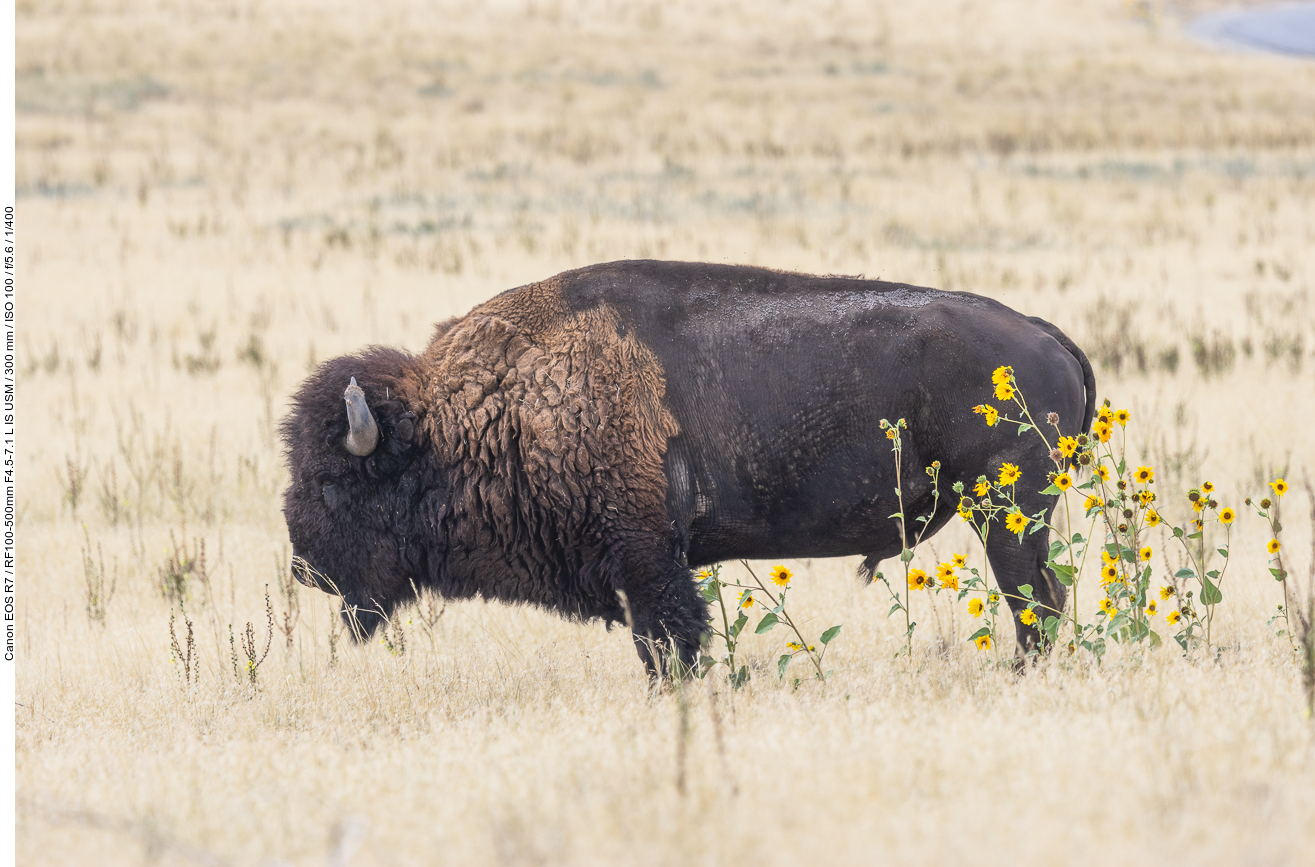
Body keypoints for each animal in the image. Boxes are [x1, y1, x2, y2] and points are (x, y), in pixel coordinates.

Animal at [282, 261, 1094, 673]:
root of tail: (1039, 334)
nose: (304, 569)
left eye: (334, 482)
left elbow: (668, 640)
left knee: (1035, 600)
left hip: (1007, 516)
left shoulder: (647, 560)